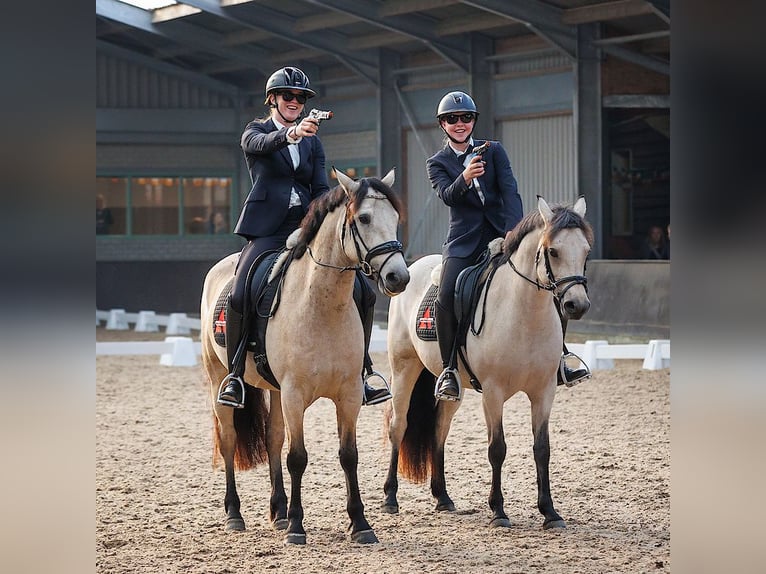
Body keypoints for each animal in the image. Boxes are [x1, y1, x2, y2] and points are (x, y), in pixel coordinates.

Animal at [201, 169, 412, 548]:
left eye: (395, 219)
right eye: (364, 218)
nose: (398, 277)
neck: (322, 304)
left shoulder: (348, 394)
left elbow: (348, 455)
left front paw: (360, 524)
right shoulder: (295, 394)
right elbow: (297, 457)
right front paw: (298, 527)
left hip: (273, 389)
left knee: (272, 438)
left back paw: (279, 512)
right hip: (218, 378)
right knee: (228, 440)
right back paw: (235, 514)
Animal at [384, 197, 592, 532]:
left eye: (586, 250)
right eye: (553, 251)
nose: (577, 305)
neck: (524, 312)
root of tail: (413, 265)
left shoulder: (544, 391)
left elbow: (542, 449)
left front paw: (550, 512)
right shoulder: (494, 393)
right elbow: (498, 448)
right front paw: (498, 511)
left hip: (450, 388)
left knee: (439, 430)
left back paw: (443, 498)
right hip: (404, 368)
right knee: (398, 426)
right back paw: (390, 498)